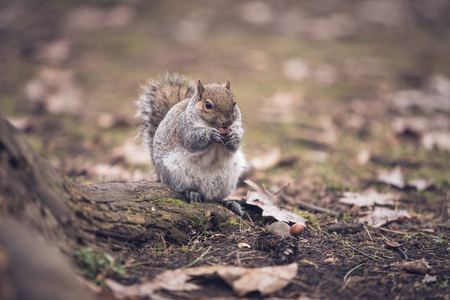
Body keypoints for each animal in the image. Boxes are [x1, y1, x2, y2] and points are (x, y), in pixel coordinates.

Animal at [136, 73, 246, 214]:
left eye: (234, 103)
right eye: (208, 105)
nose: (227, 122)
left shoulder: (236, 126)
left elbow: (234, 145)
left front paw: (234, 137)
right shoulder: (183, 128)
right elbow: (192, 140)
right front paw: (210, 134)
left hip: (228, 182)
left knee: (216, 198)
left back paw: (231, 204)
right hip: (174, 175)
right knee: (183, 190)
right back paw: (193, 193)